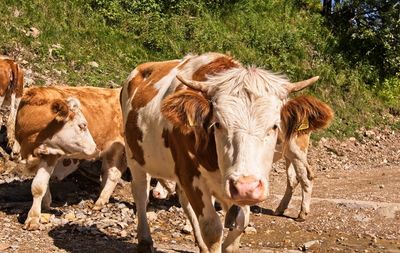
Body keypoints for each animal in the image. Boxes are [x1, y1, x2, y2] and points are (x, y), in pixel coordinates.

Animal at [16, 86, 126, 230]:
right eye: (82, 125)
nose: (94, 147)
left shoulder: (51, 154)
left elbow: (38, 186)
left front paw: (33, 218)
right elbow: (43, 183)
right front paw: (46, 204)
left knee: (115, 174)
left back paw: (100, 201)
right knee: (108, 172)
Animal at [120, 52, 326, 252]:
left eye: (275, 126)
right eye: (217, 124)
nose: (246, 187)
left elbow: (239, 226)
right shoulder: (190, 175)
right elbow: (212, 228)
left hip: (295, 152)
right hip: (134, 156)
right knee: (141, 193)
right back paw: (145, 240)